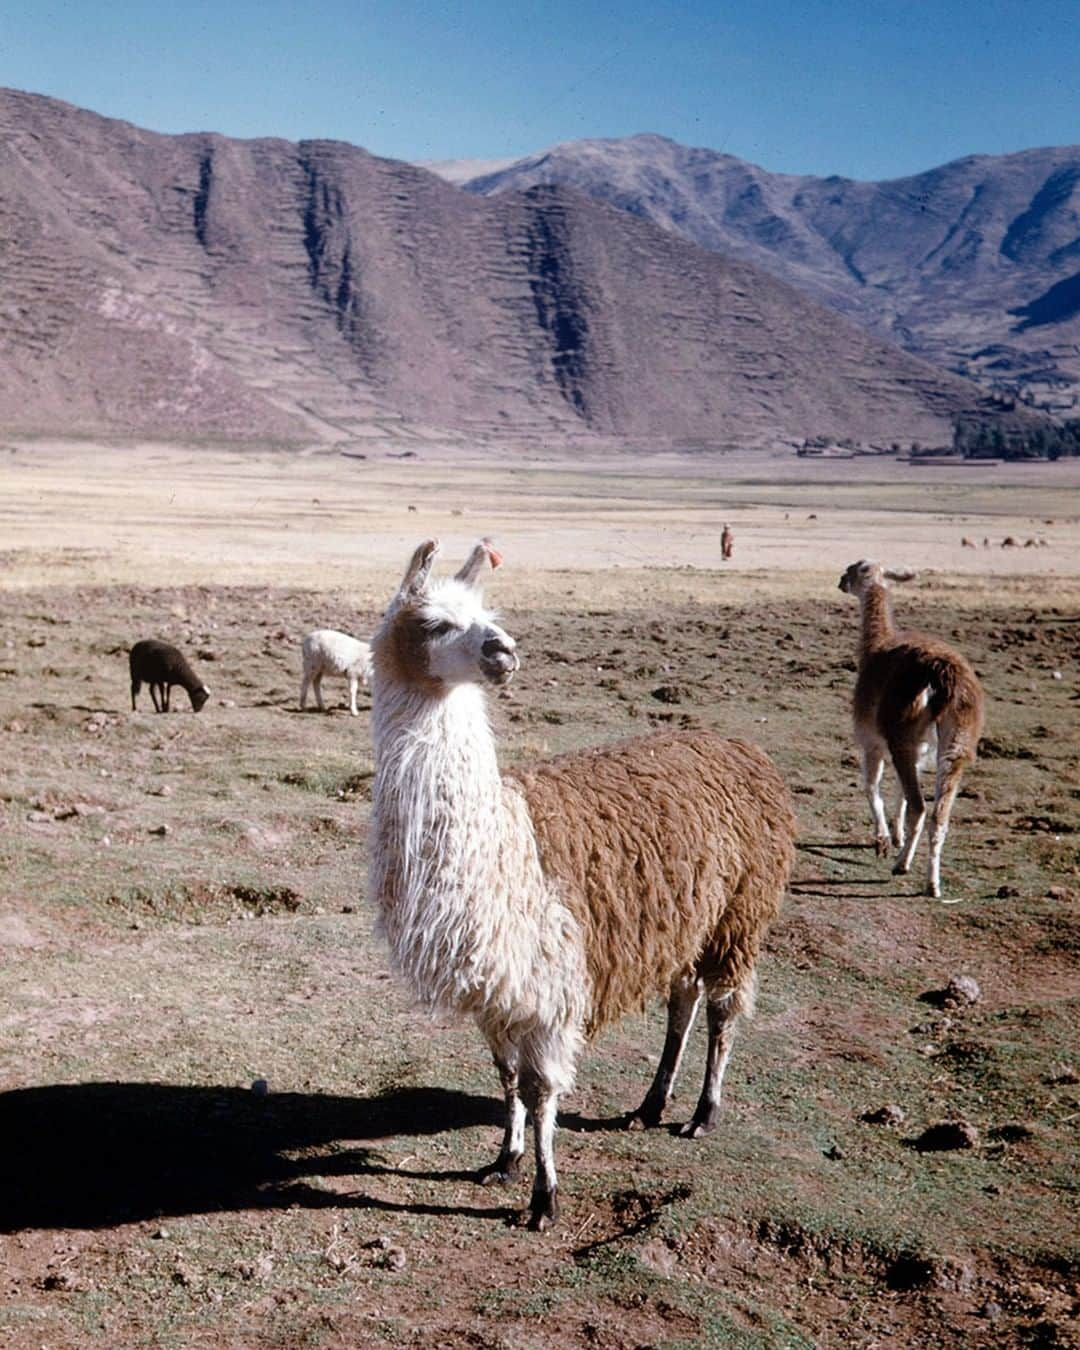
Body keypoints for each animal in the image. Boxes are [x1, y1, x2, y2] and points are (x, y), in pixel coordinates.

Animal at [367, 534, 799, 1225]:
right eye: (434, 623)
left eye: (487, 614)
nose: (503, 651)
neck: (497, 849)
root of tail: (741, 748)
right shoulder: (498, 986)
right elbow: (506, 1077)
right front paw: (504, 1160)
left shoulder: (550, 981)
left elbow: (541, 1089)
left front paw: (544, 1197)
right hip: (688, 914)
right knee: (683, 998)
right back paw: (650, 1104)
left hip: (741, 910)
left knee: (724, 1007)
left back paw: (702, 1114)